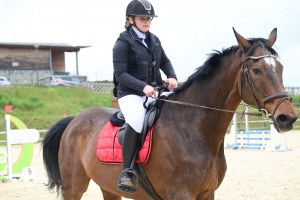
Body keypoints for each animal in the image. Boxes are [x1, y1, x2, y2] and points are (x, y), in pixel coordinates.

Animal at [42, 28, 298, 200]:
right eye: (256, 70)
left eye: (280, 68)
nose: (288, 118)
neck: (195, 129)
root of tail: (74, 120)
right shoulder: (180, 194)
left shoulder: (207, 194)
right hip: (74, 187)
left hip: (108, 187)